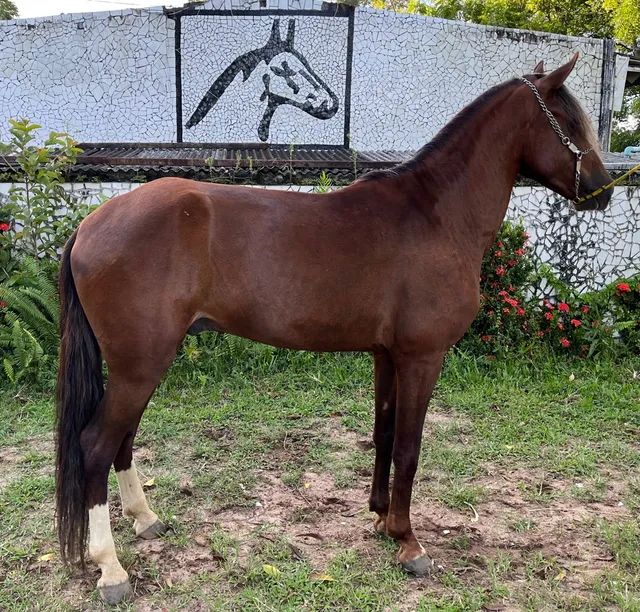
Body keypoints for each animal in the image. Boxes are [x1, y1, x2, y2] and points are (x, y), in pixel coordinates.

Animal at [55, 55, 608, 604]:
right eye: (569, 121)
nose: (602, 189)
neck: (436, 215)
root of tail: (89, 225)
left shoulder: (387, 355)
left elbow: (385, 434)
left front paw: (382, 518)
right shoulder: (422, 357)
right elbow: (409, 448)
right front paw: (408, 541)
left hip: (140, 365)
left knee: (123, 441)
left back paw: (145, 519)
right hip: (140, 365)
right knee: (97, 447)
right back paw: (111, 569)